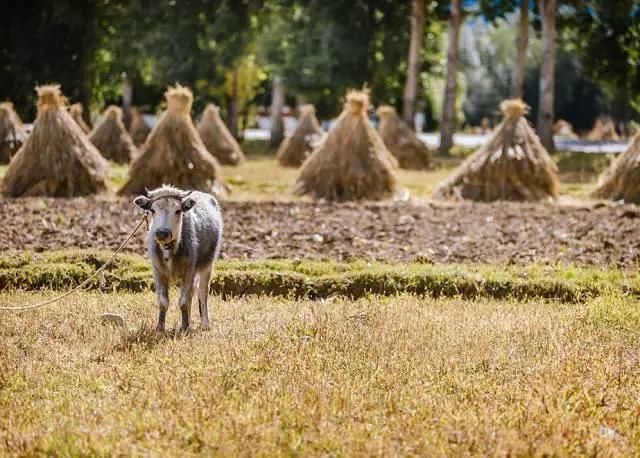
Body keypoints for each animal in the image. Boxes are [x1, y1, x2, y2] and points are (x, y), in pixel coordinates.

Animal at [132, 184, 222, 330]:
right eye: (153, 210)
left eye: (178, 211)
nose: (162, 233)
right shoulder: (158, 272)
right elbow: (163, 301)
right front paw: (160, 328)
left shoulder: (189, 272)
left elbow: (183, 301)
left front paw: (184, 328)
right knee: (193, 292)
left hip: (207, 265)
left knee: (202, 291)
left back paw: (205, 324)